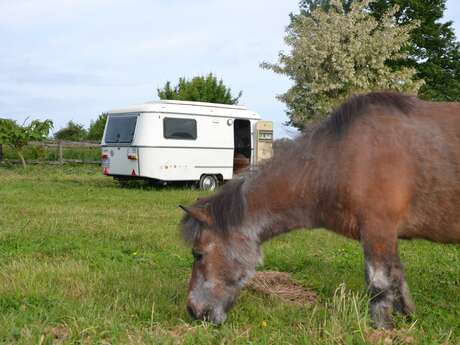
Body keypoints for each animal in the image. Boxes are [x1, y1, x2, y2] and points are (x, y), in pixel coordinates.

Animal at [179, 91, 460, 328]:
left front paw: (384, 330)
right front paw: (408, 318)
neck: (342, 159)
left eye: (198, 254)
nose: (192, 311)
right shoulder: (386, 236)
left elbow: (379, 285)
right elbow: (397, 278)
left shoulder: (377, 231)